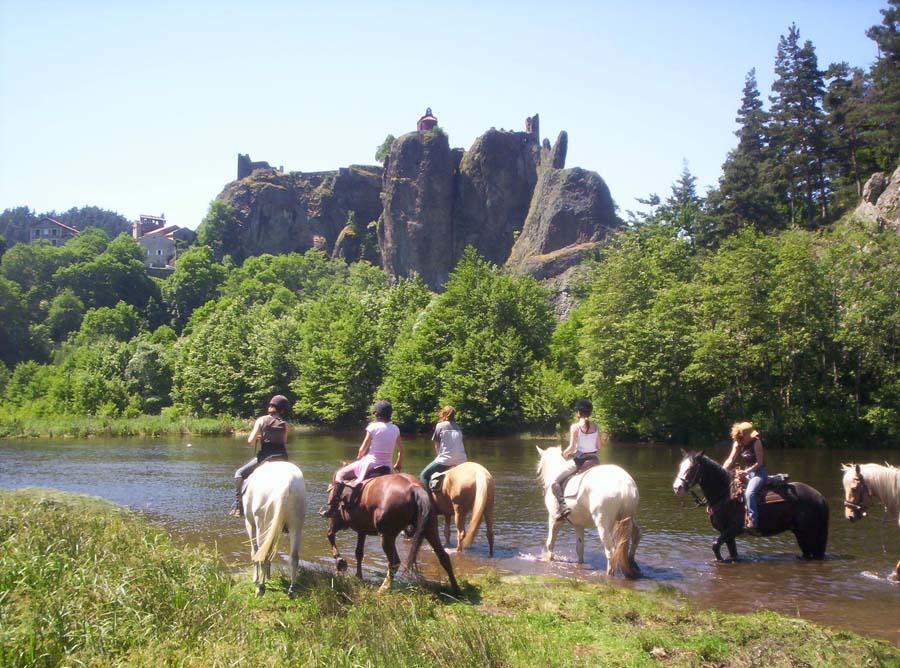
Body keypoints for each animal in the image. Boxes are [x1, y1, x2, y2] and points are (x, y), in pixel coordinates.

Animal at [241, 460, 308, 596]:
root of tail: (287, 484)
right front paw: (268, 575)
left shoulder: (250, 524)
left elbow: (254, 552)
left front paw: (256, 578)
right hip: (296, 526)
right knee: (294, 557)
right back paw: (292, 589)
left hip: (261, 526)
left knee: (262, 554)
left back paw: (260, 587)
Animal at [324, 470, 460, 596]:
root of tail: (415, 488)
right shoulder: (361, 530)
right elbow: (359, 553)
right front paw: (358, 576)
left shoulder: (340, 523)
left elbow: (332, 536)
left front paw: (340, 561)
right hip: (430, 530)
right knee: (443, 557)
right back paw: (456, 589)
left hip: (387, 536)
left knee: (394, 562)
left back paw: (383, 588)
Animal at [536, 446, 640, 576]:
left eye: (540, 467)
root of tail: (624, 485)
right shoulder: (578, 525)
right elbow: (580, 548)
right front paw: (580, 564)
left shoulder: (554, 519)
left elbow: (550, 543)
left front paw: (548, 559)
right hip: (629, 518)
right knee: (635, 537)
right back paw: (632, 564)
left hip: (603, 524)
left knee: (610, 551)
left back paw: (609, 574)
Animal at [672, 448, 828, 564]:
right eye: (680, 466)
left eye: (692, 468)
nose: (677, 488)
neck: (725, 494)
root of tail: (820, 497)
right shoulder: (728, 535)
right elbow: (732, 554)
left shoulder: (733, 529)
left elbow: (715, 545)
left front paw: (720, 560)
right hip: (800, 534)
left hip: (812, 533)